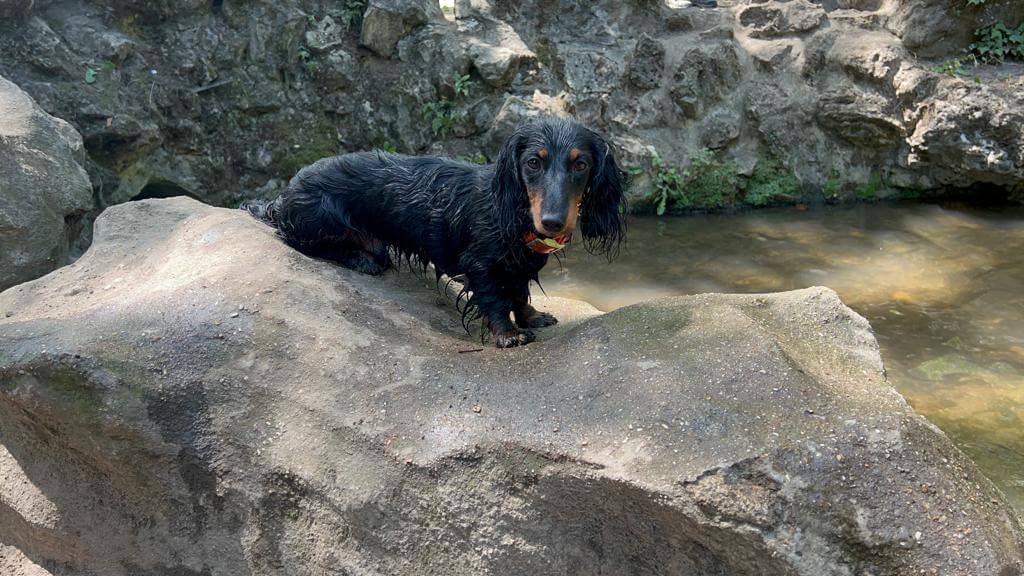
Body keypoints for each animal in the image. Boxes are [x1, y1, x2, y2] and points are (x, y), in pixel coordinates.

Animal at [243, 117, 626, 344]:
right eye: (533, 162)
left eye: (581, 164)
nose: (552, 222)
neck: (513, 213)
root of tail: (283, 196)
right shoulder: (480, 264)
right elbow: (495, 299)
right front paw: (507, 334)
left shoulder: (519, 266)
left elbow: (519, 292)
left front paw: (532, 317)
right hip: (320, 218)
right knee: (300, 241)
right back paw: (360, 260)